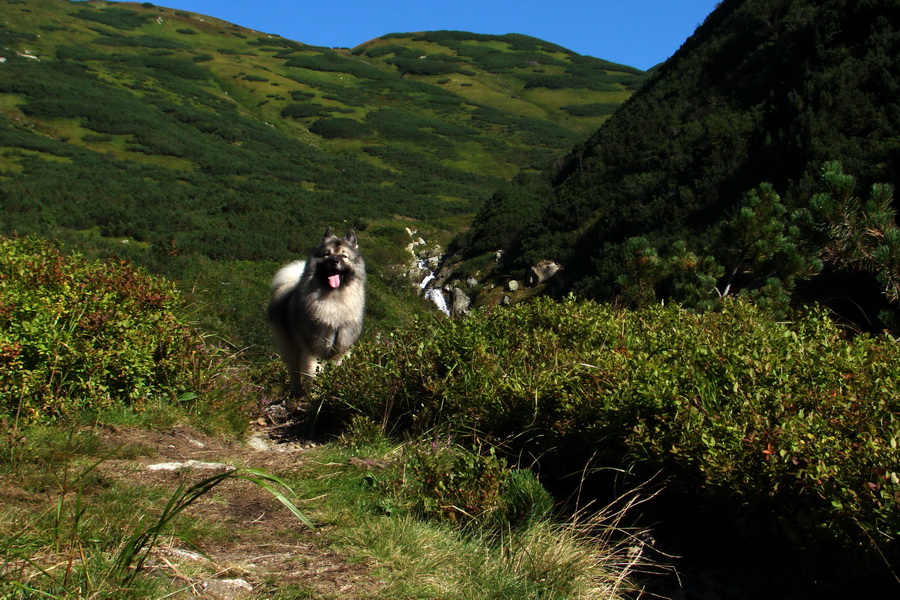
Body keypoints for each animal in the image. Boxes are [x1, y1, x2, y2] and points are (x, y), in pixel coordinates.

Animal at [268, 229, 366, 394]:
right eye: (327, 254)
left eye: (344, 256)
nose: (334, 261)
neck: (334, 299)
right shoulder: (314, 350)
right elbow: (313, 372)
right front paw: (315, 394)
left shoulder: (340, 350)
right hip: (290, 345)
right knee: (293, 369)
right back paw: (296, 391)